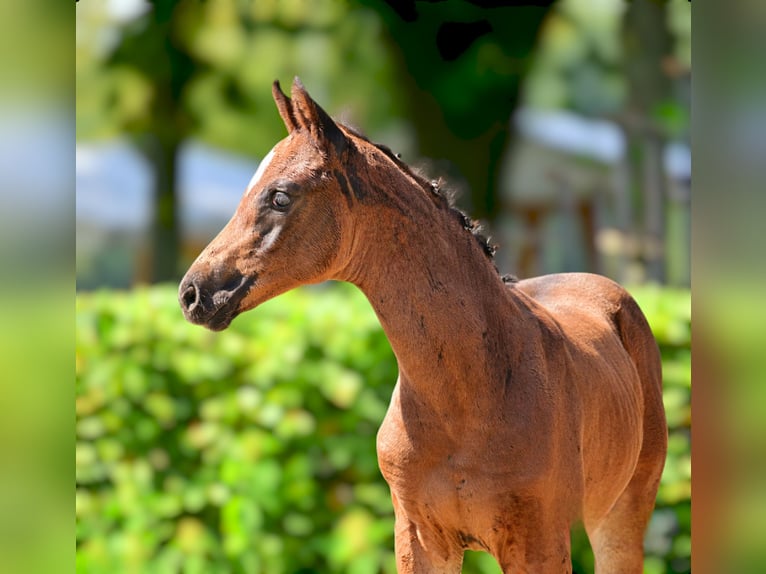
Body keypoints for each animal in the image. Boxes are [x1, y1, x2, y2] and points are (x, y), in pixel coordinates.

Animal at [178, 79, 664, 572]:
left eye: (280, 196)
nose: (192, 294)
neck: (470, 394)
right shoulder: (420, 538)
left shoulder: (539, 543)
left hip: (621, 516)